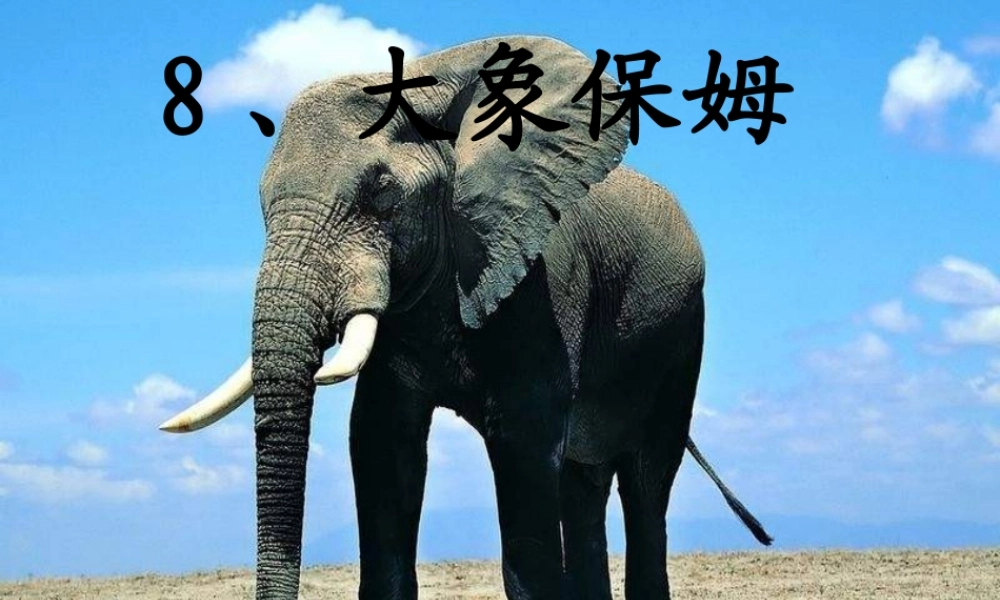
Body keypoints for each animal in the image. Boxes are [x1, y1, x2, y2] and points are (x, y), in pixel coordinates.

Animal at [160, 35, 772, 600]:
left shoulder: (542, 280)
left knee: (646, 482)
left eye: (382, 195)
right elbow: (381, 443)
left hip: (681, 335)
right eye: (261, 204)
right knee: (582, 483)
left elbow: (524, 450)